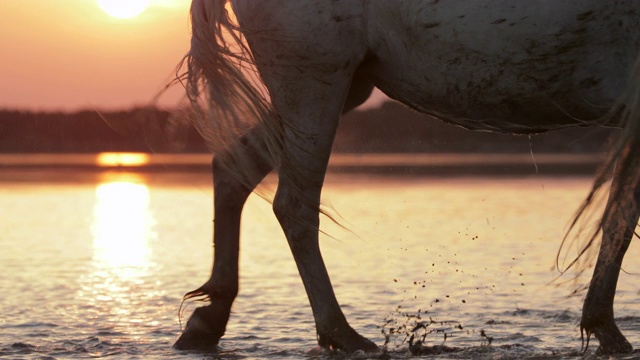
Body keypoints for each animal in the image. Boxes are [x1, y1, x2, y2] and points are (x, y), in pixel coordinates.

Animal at [174, 0, 640, 354]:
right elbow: (618, 222)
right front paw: (606, 329)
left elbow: (620, 221)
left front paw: (605, 326)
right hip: (312, 81)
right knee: (293, 205)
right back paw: (341, 334)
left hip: (344, 85)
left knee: (233, 167)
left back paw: (208, 320)